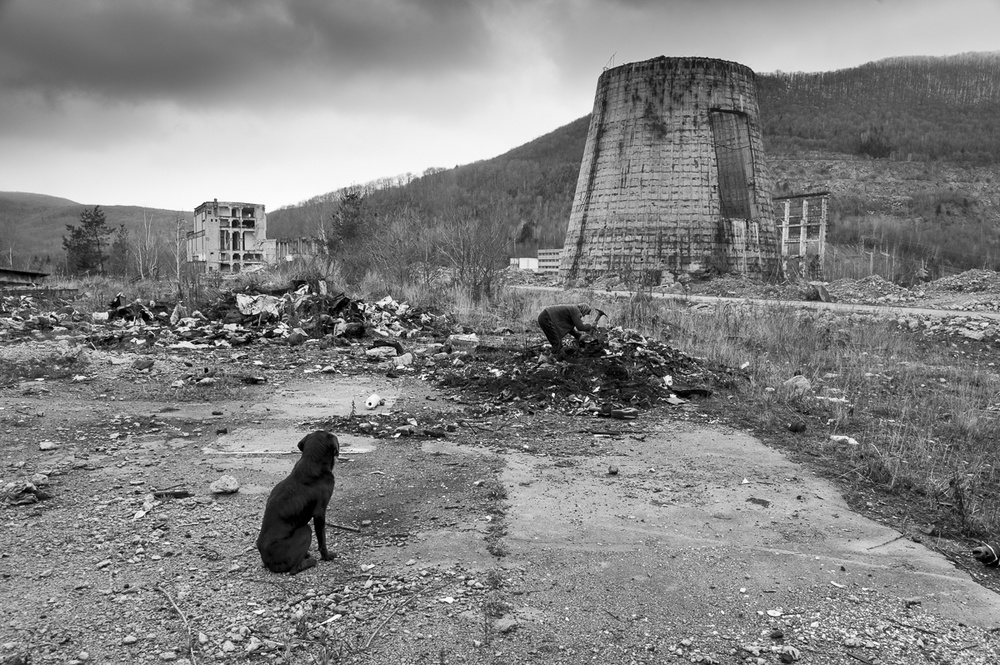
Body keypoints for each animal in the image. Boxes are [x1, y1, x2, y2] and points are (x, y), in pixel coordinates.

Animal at [256, 431, 339, 574]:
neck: (311, 462)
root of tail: (267, 562)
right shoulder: (320, 512)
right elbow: (322, 540)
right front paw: (327, 556)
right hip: (306, 530)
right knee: (294, 569)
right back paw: (310, 561)